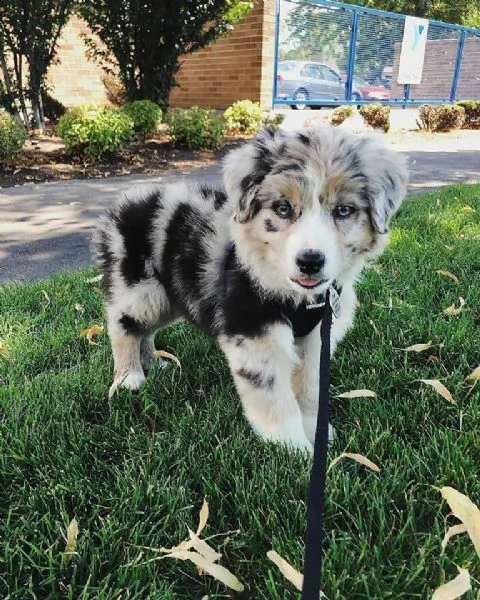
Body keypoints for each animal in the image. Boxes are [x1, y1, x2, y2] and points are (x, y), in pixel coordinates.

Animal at [94, 127, 408, 454]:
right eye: (282, 208)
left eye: (343, 210)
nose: (310, 261)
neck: (297, 297)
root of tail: (124, 201)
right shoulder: (256, 337)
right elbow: (277, 403)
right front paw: (295, 451)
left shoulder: (318, 337)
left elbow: (310, 389)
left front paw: (317, 432)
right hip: (142, 290)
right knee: (122, 324)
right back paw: (129, 377)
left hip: (170, 297)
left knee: (146, 329)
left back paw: (153, 363)